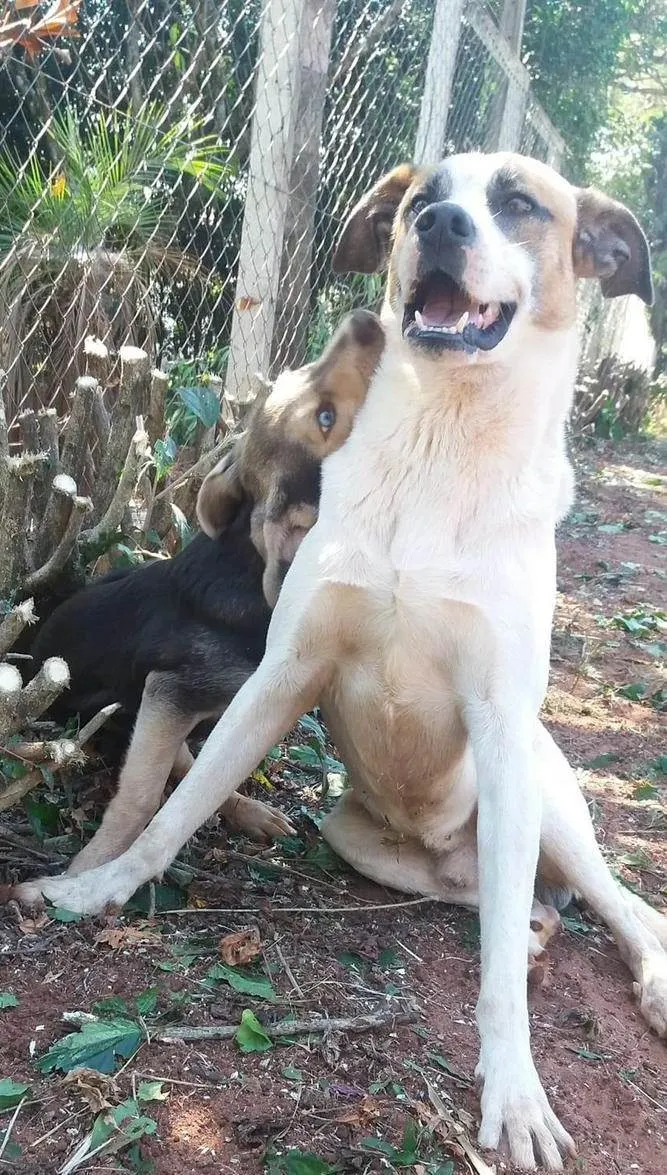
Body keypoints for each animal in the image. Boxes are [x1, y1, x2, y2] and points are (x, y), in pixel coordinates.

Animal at [29, 307, 385, 878]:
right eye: (325, 418)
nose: (366, 318)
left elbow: (205, 776)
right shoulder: (171, 691)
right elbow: (142, 797)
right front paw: (91, 868)